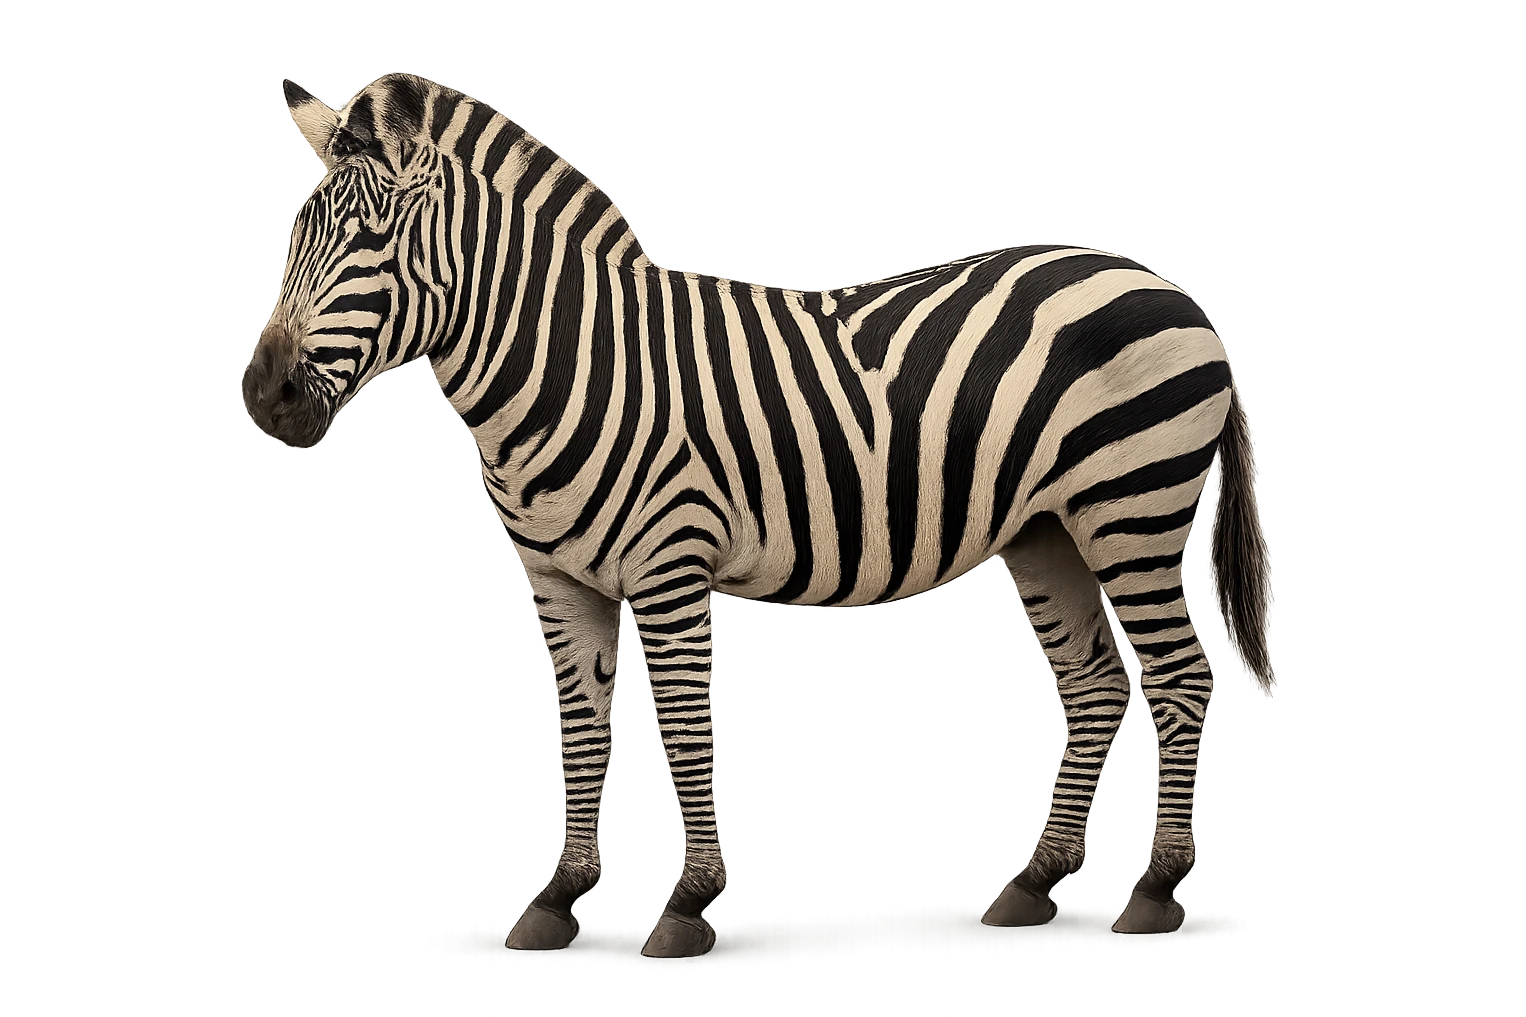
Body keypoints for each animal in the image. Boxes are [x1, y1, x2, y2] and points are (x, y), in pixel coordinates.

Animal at [243, 72, 1277, 958]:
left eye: (370, 240)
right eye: (295, 235)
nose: (267, 395)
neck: (566, 359)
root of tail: (1172, 289)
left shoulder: (670, 561)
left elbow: (684, 725)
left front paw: (687, 904)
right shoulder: (555, 577)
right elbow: (579, 724)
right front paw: (556, 899)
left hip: (1132, 507)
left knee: (1181, 676)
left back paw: (1154, 890)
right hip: (1047, 530)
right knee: (1097, 684)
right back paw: (1032, 882)